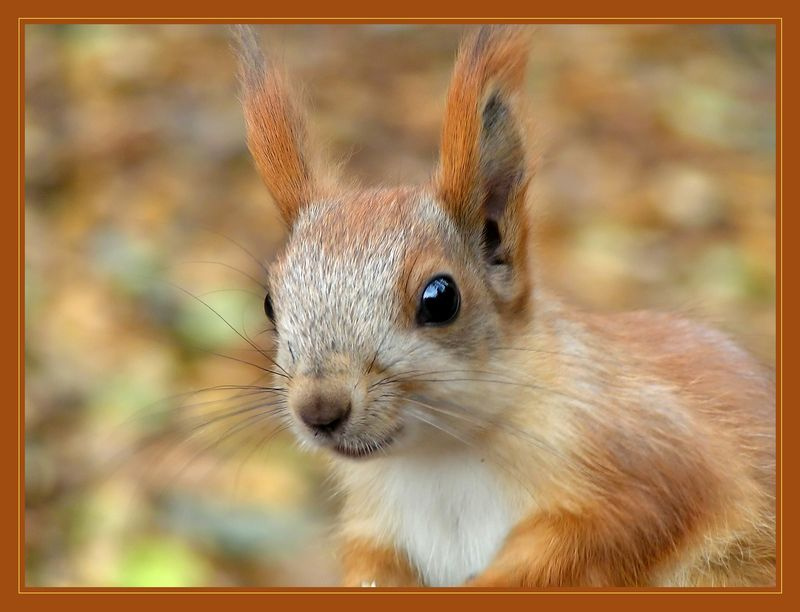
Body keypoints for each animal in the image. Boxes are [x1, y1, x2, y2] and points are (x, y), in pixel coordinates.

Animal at [231, 25, 775, 587]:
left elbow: (608, 530)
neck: (437, 460)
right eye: (270, 302)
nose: (319, 409)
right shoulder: (376, 525)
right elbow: (373, 565)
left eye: (441, 298)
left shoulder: (649, 457)